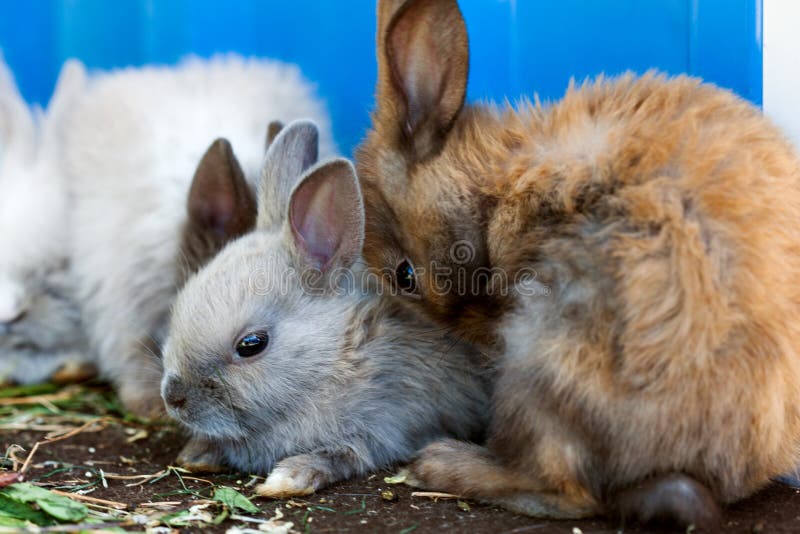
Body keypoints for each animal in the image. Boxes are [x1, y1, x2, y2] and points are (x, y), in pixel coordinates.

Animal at [160, 120, 489, 497]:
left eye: (251, 344)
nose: (173, 397)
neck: (339, 354)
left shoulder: (385, 426)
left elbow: (345, 453)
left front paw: (287, 479)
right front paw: (197, 453)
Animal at [354, 0, 800, 529]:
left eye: (405, 275)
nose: (479, 334)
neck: (492, 183)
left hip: (545, 357)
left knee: (568, 491)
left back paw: (442, 464)